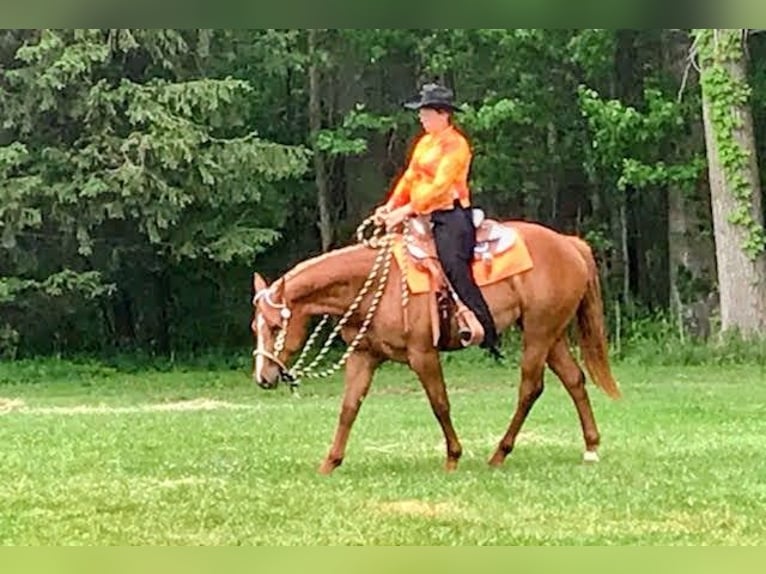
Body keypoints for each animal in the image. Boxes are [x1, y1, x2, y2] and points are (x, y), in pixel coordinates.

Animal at [250, 217, 620, 475]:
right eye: (255, 326)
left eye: (276, 325)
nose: (263, 378)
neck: (377, 283)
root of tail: (569, 244)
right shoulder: (364, 355)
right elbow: (349, 408)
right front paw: (330, 463)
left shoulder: (422, 354)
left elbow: (439, 404)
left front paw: (453, 458)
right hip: (550, 334)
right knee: (574, 379)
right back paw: (591, 447)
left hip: (539, 333)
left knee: (531, 387)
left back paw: (499, 453)